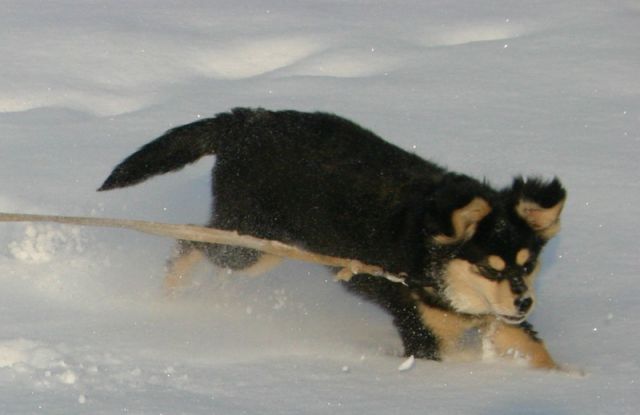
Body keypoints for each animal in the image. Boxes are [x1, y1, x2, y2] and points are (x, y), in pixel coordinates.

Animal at [99, 108, 564, 370]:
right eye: (488, 267)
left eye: (528, 265)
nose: (525, 302)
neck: (430, 258)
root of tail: (247, 120)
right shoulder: (425, 333)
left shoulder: (495, 319)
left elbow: (539, 355)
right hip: (249, 242)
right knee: (188, 244)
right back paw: (169, 296)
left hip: (268, 248)